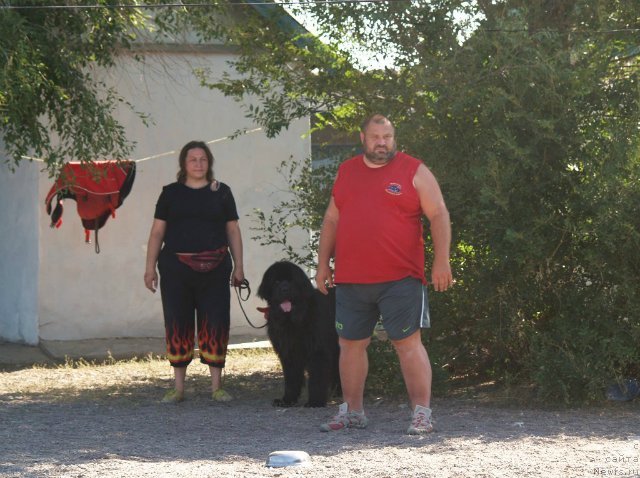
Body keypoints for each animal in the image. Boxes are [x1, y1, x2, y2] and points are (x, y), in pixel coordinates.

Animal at [258, 262, 342, 408]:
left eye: (291, 281)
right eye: (276, 281)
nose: (285, 289)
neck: (293, 319)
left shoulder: (318, 350)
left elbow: (317, 377)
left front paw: (315, 401)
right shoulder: (289, 352)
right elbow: (291, 378)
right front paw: (287, 399)